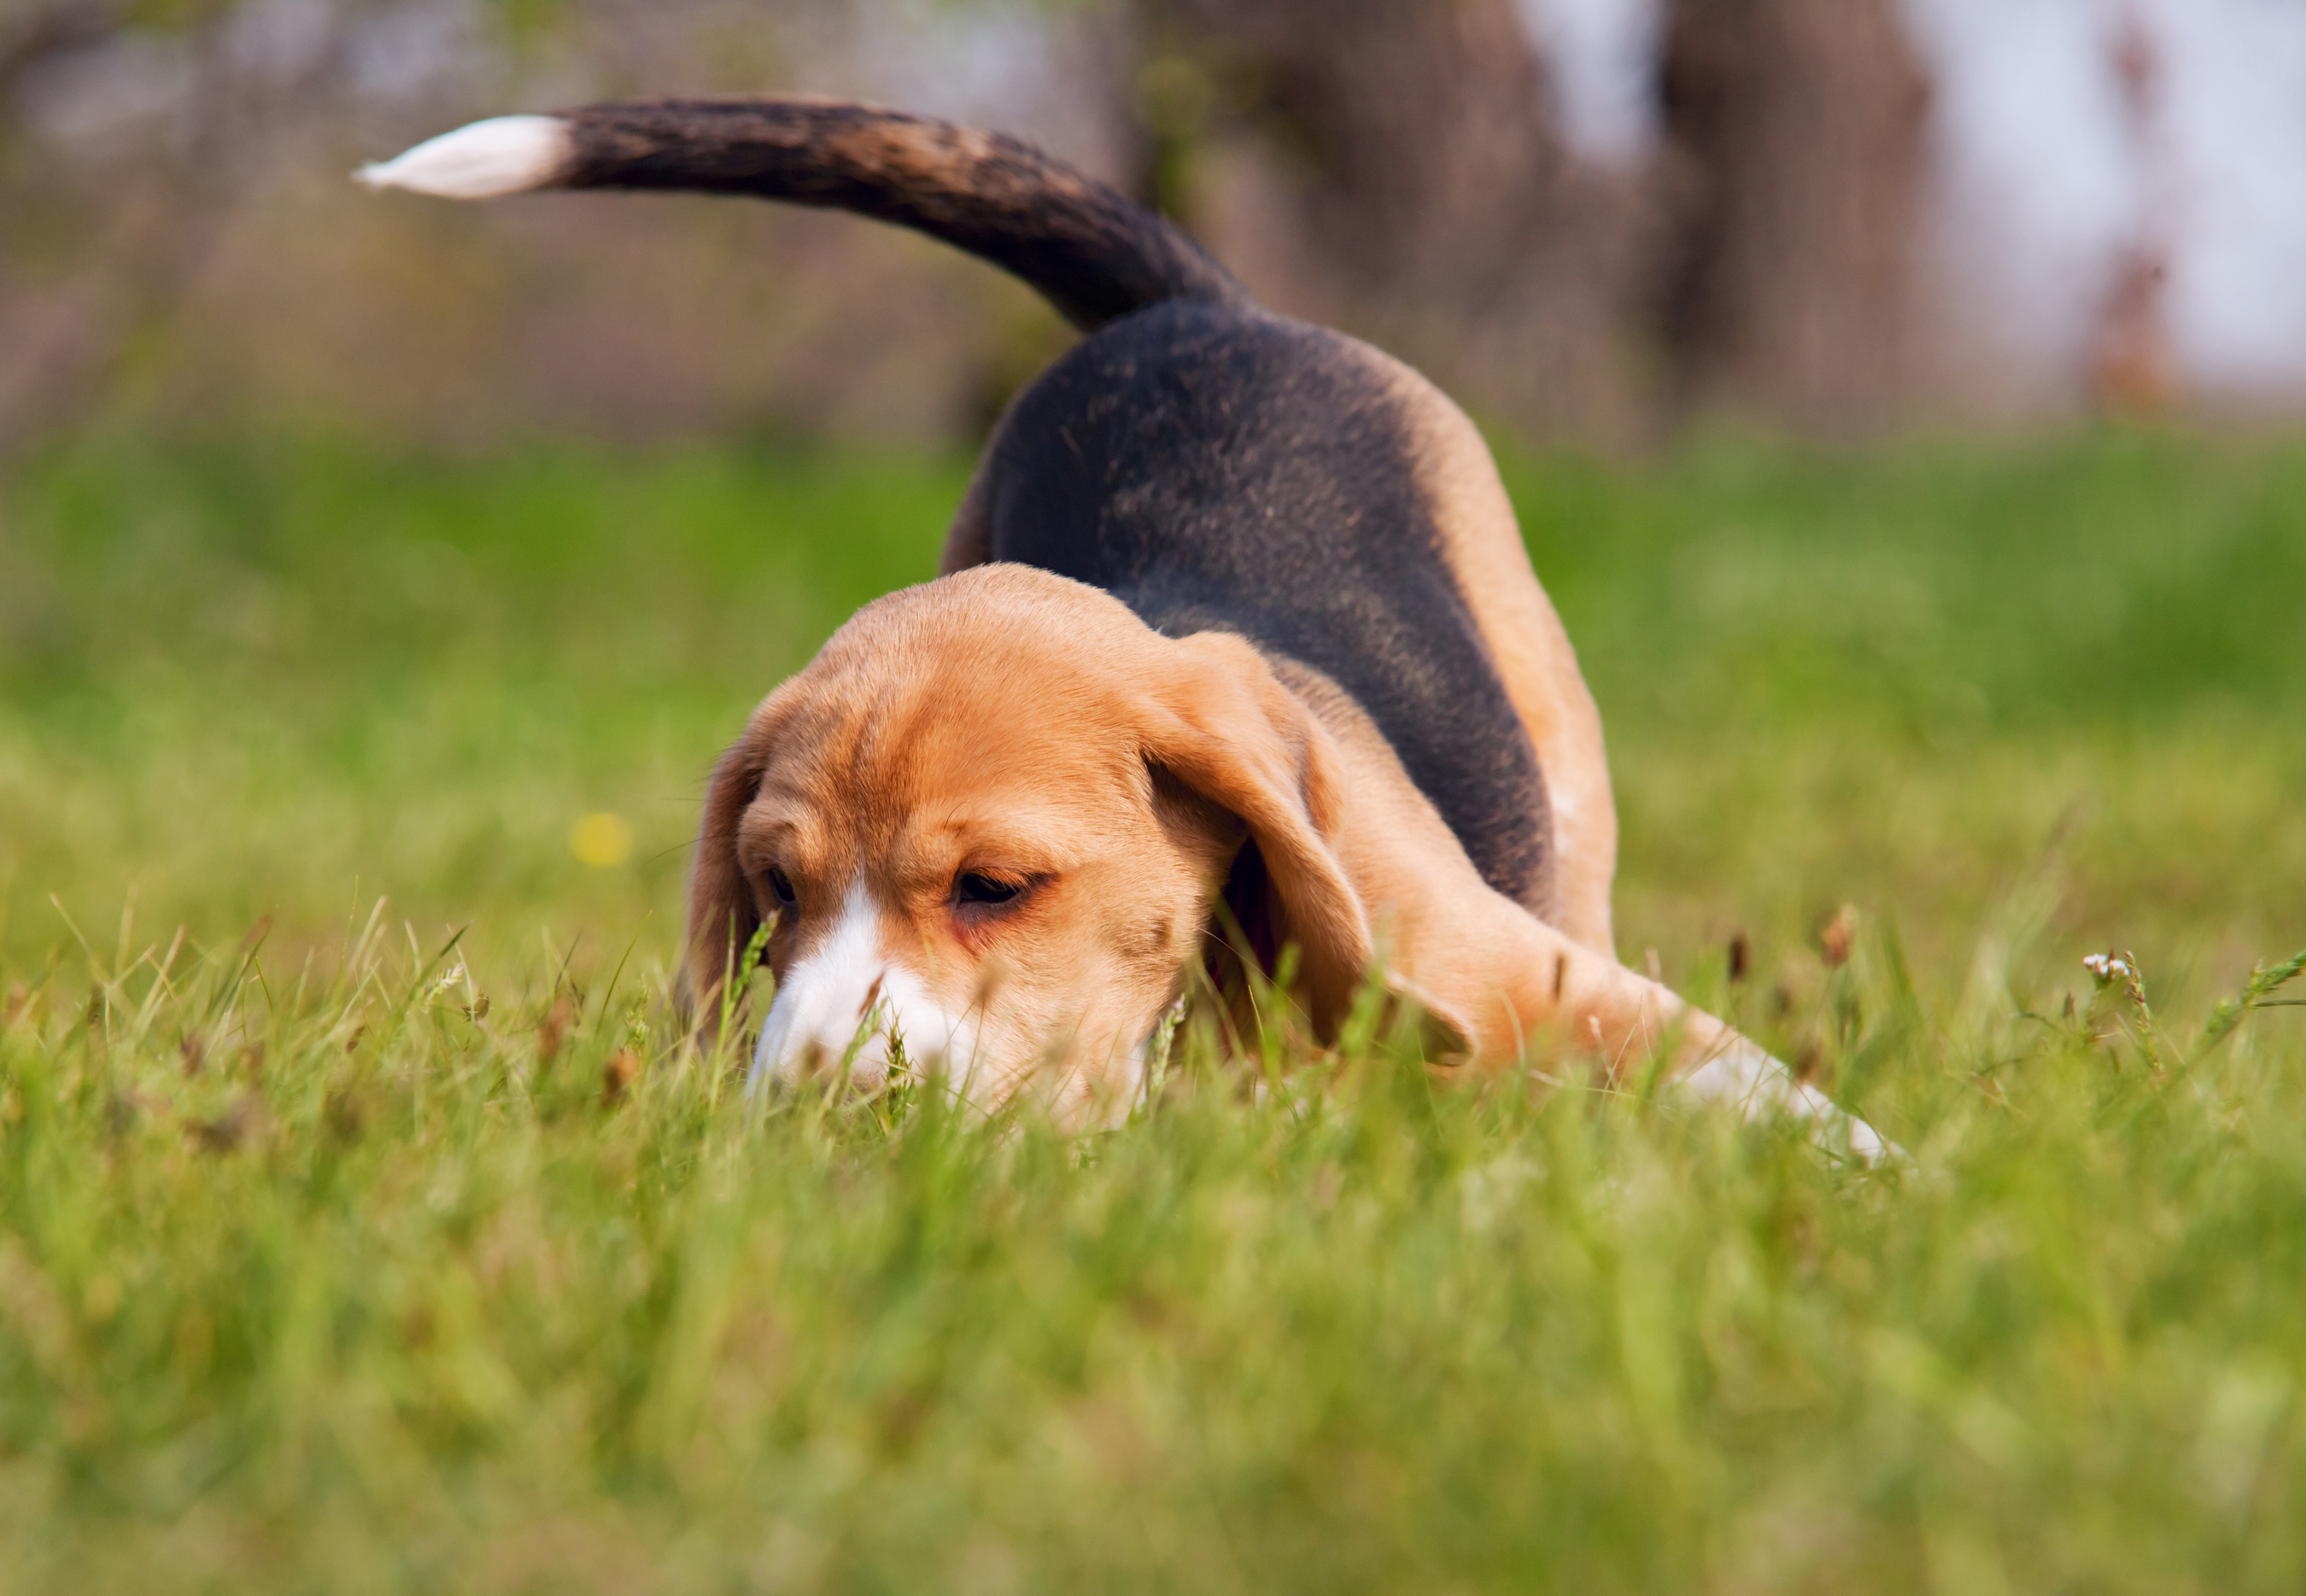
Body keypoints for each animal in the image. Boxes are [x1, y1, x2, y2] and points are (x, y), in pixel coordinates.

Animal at [354, 96, 1872, 1149]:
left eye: (994, 887)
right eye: (776, 888)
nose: (805, 1110)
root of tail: (1198, 309)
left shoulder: (1553, 989)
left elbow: (1780, 1103)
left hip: (1557, 755)